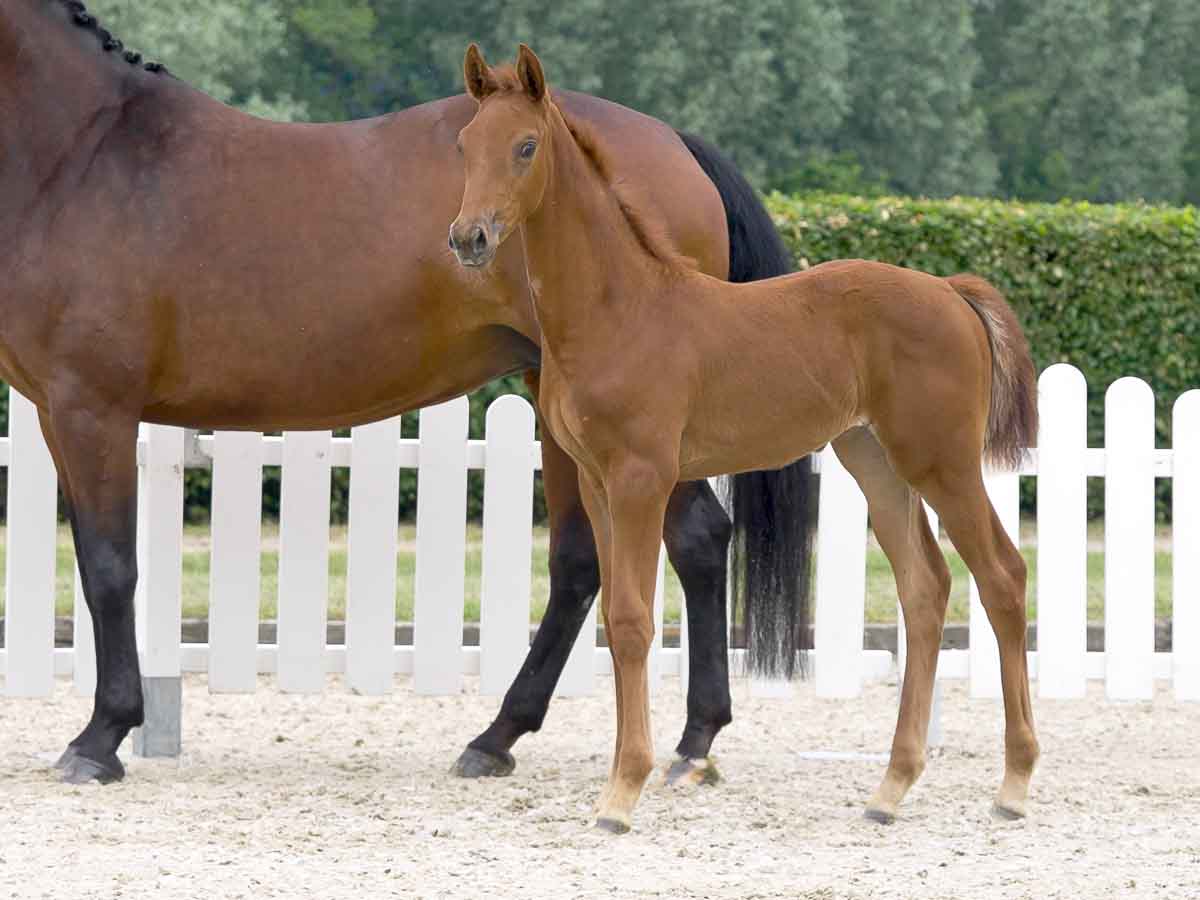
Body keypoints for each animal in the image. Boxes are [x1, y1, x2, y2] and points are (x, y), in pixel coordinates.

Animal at [0, 0, 817, 787]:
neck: (82, 157)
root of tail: (676, 143)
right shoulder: (61, 413)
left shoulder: (91, 408)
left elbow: (108, 569)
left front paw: (99, 739)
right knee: (585, 563)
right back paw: (502, 738)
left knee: (696, 541)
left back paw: (689, 739)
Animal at [451, 44, 1040, 833]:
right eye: (463, 145)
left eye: (525, 146)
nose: (469, 239)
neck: (619, 308)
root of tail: (949, 290)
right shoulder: (599, 484)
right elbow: (615, 614)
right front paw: (619, 781)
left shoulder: (642, 478)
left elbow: (633, 621)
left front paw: (622, 794)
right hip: (875, 462)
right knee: (926, 589)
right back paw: (889, 789)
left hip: (940, 462)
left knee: (1001, 577)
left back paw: (1013, 783)